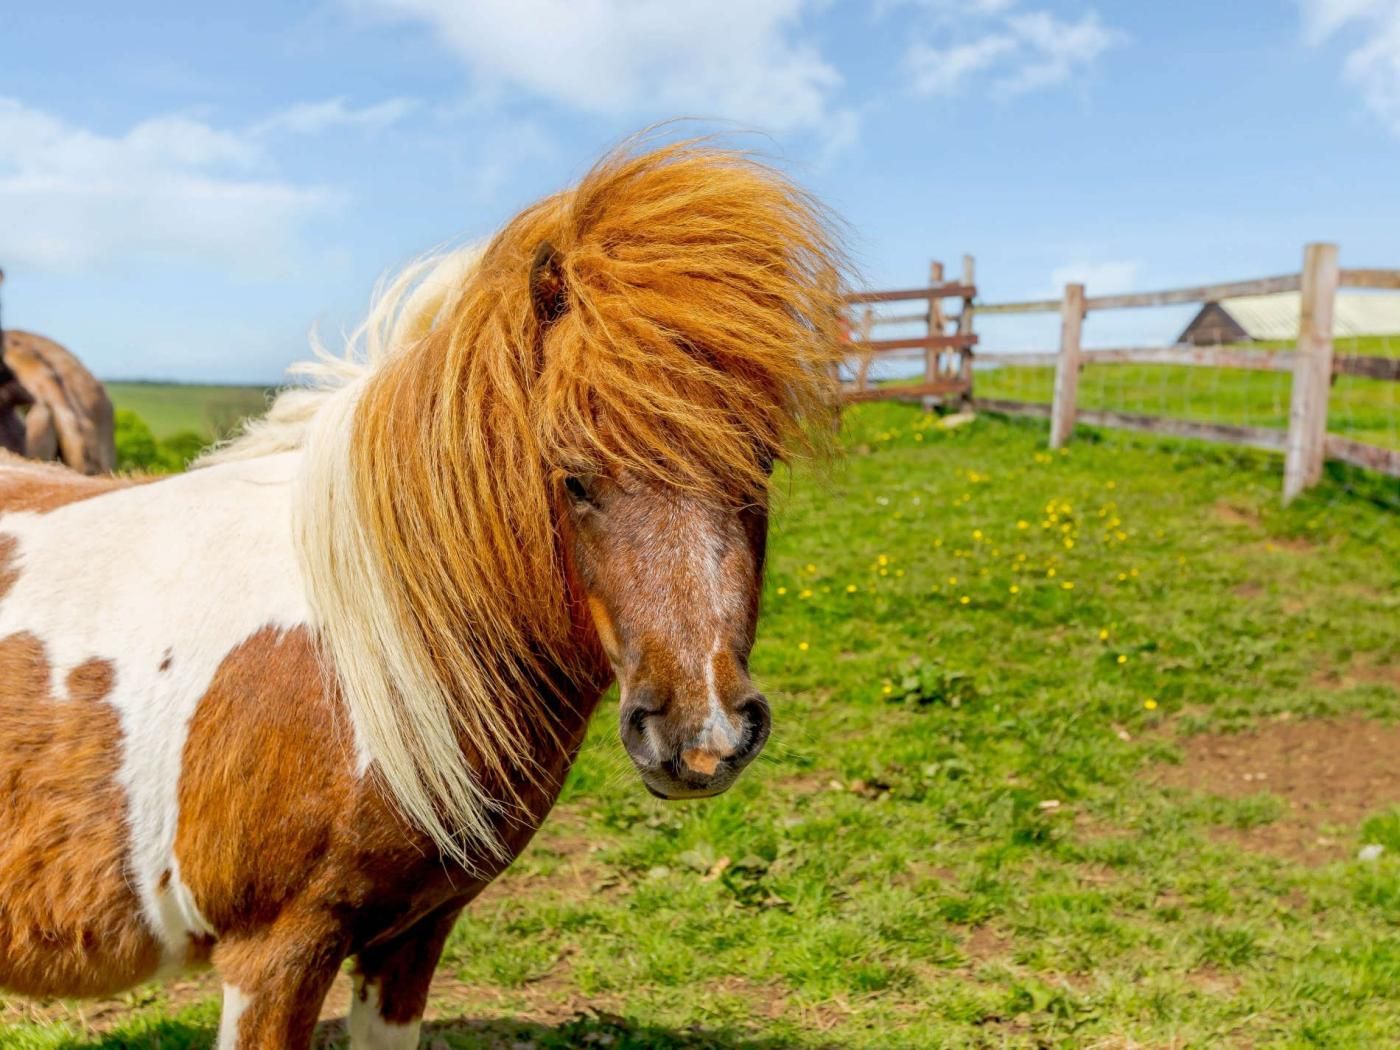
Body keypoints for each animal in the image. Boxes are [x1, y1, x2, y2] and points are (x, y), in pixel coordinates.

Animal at [0, 140, 845, 1049]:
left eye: (760, 464)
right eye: (573, 478)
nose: (703, 737)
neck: (355, 660)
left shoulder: (412, 935)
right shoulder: (274, 954)